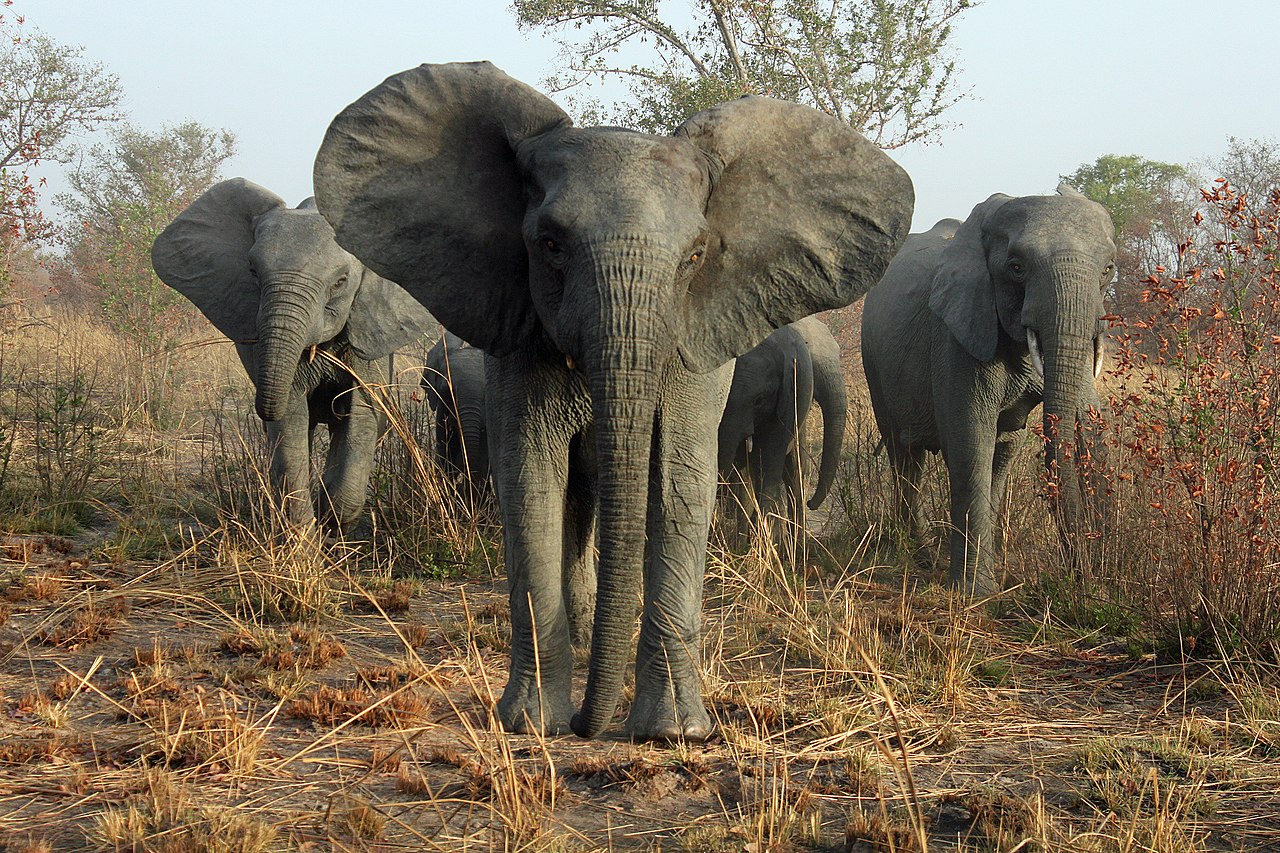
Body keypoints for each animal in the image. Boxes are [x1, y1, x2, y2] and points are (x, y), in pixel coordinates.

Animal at [151, 178, 436, 533]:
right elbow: (290, 424)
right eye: (252, 272)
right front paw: (303, 537)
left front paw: (332, 520)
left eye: (341, 282)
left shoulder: (368, 331)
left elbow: (361, 414)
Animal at [860, 185, 1116, 597]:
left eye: (1108, 269)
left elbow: (1007, 444)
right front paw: (975, 594)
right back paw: (919, 557)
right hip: (874, 362)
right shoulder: (956, 333)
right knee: (904, 455)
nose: (1086, 581)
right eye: (1016, 267)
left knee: (1002, 449)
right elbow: (971, 438)